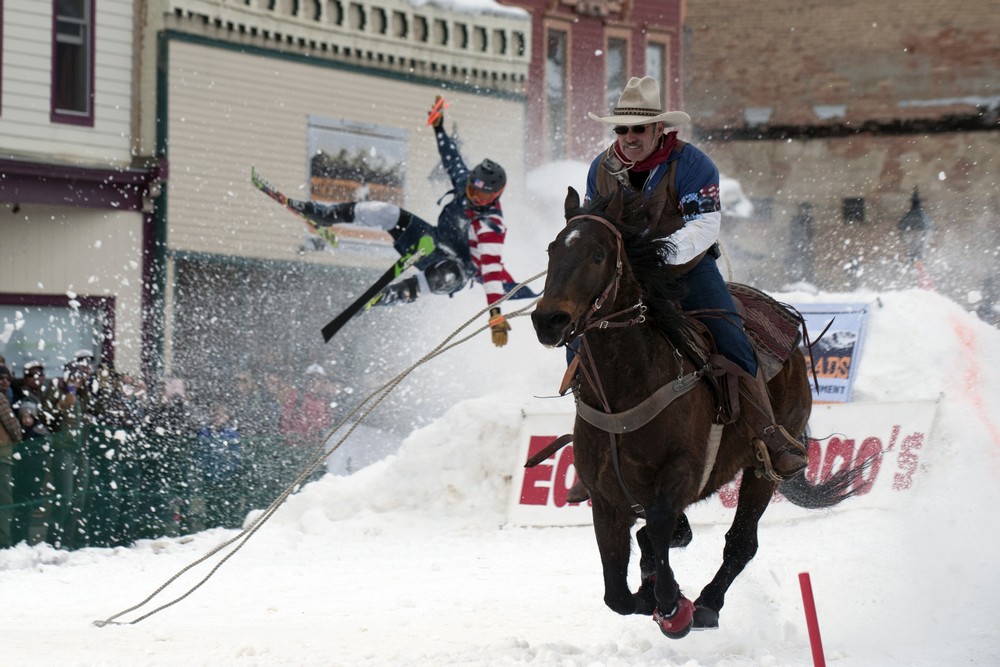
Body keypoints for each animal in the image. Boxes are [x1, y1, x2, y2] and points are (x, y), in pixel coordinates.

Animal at [532, 185, 860, 640]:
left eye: (598, 255)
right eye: (551, 250)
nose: (549, 319)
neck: (627, 391)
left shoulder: (681, 475)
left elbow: (660, 526)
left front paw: (673, 606)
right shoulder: (606, 500)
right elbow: (617, 595)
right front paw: (649, 594)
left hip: (764, 468)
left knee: (740, 541)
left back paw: (706, 604)